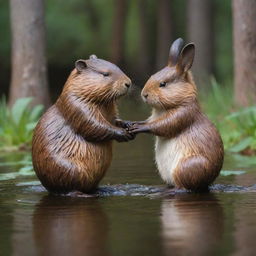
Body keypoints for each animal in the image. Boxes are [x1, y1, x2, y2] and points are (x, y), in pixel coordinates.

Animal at [32, 55, 134, 193]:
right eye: (105, 74)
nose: (128, 83)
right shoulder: (76, 105)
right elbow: (93, 125)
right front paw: (123, 133)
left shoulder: (111, 109)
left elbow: (114, 120)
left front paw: (128, 124)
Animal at [129, 37, 223, 190]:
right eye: (152, 75)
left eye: (163, 84)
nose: (144, 94)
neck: (163, 109)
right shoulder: (154, 116)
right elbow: (148, 121)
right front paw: (131, 124)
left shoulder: (184, 114)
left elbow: (161, 126)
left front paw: (137, 128)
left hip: (187, 168)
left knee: (183, 187)